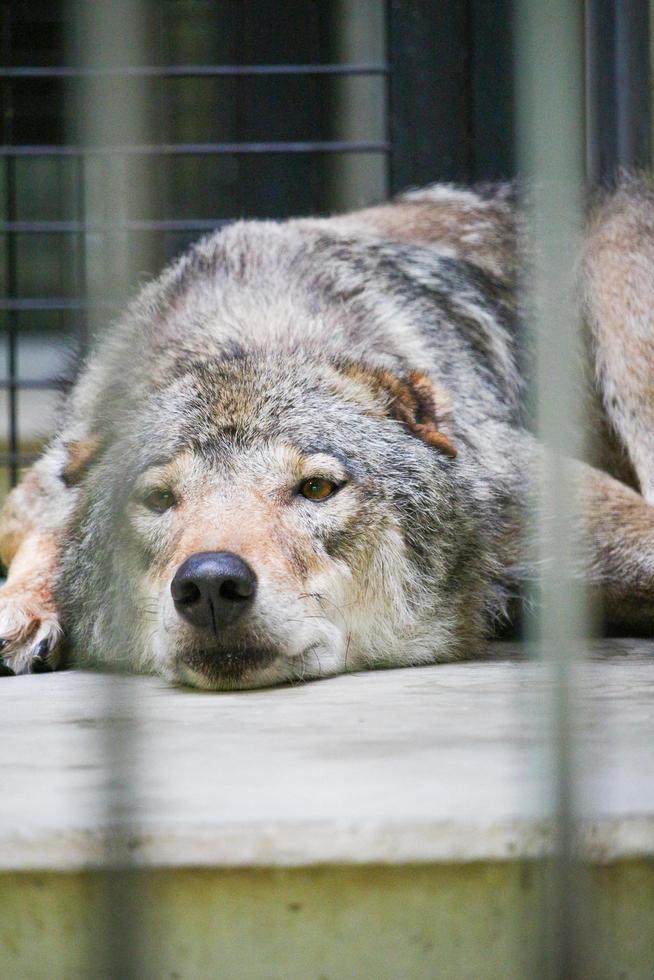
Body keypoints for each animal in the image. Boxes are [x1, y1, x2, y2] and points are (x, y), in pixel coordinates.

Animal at [1, 178, 654, 688]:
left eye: (316, 489)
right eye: (159, 500)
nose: (210, 583)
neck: (252, 327)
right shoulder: (43, 482)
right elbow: (40, 531)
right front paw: (23, 605)